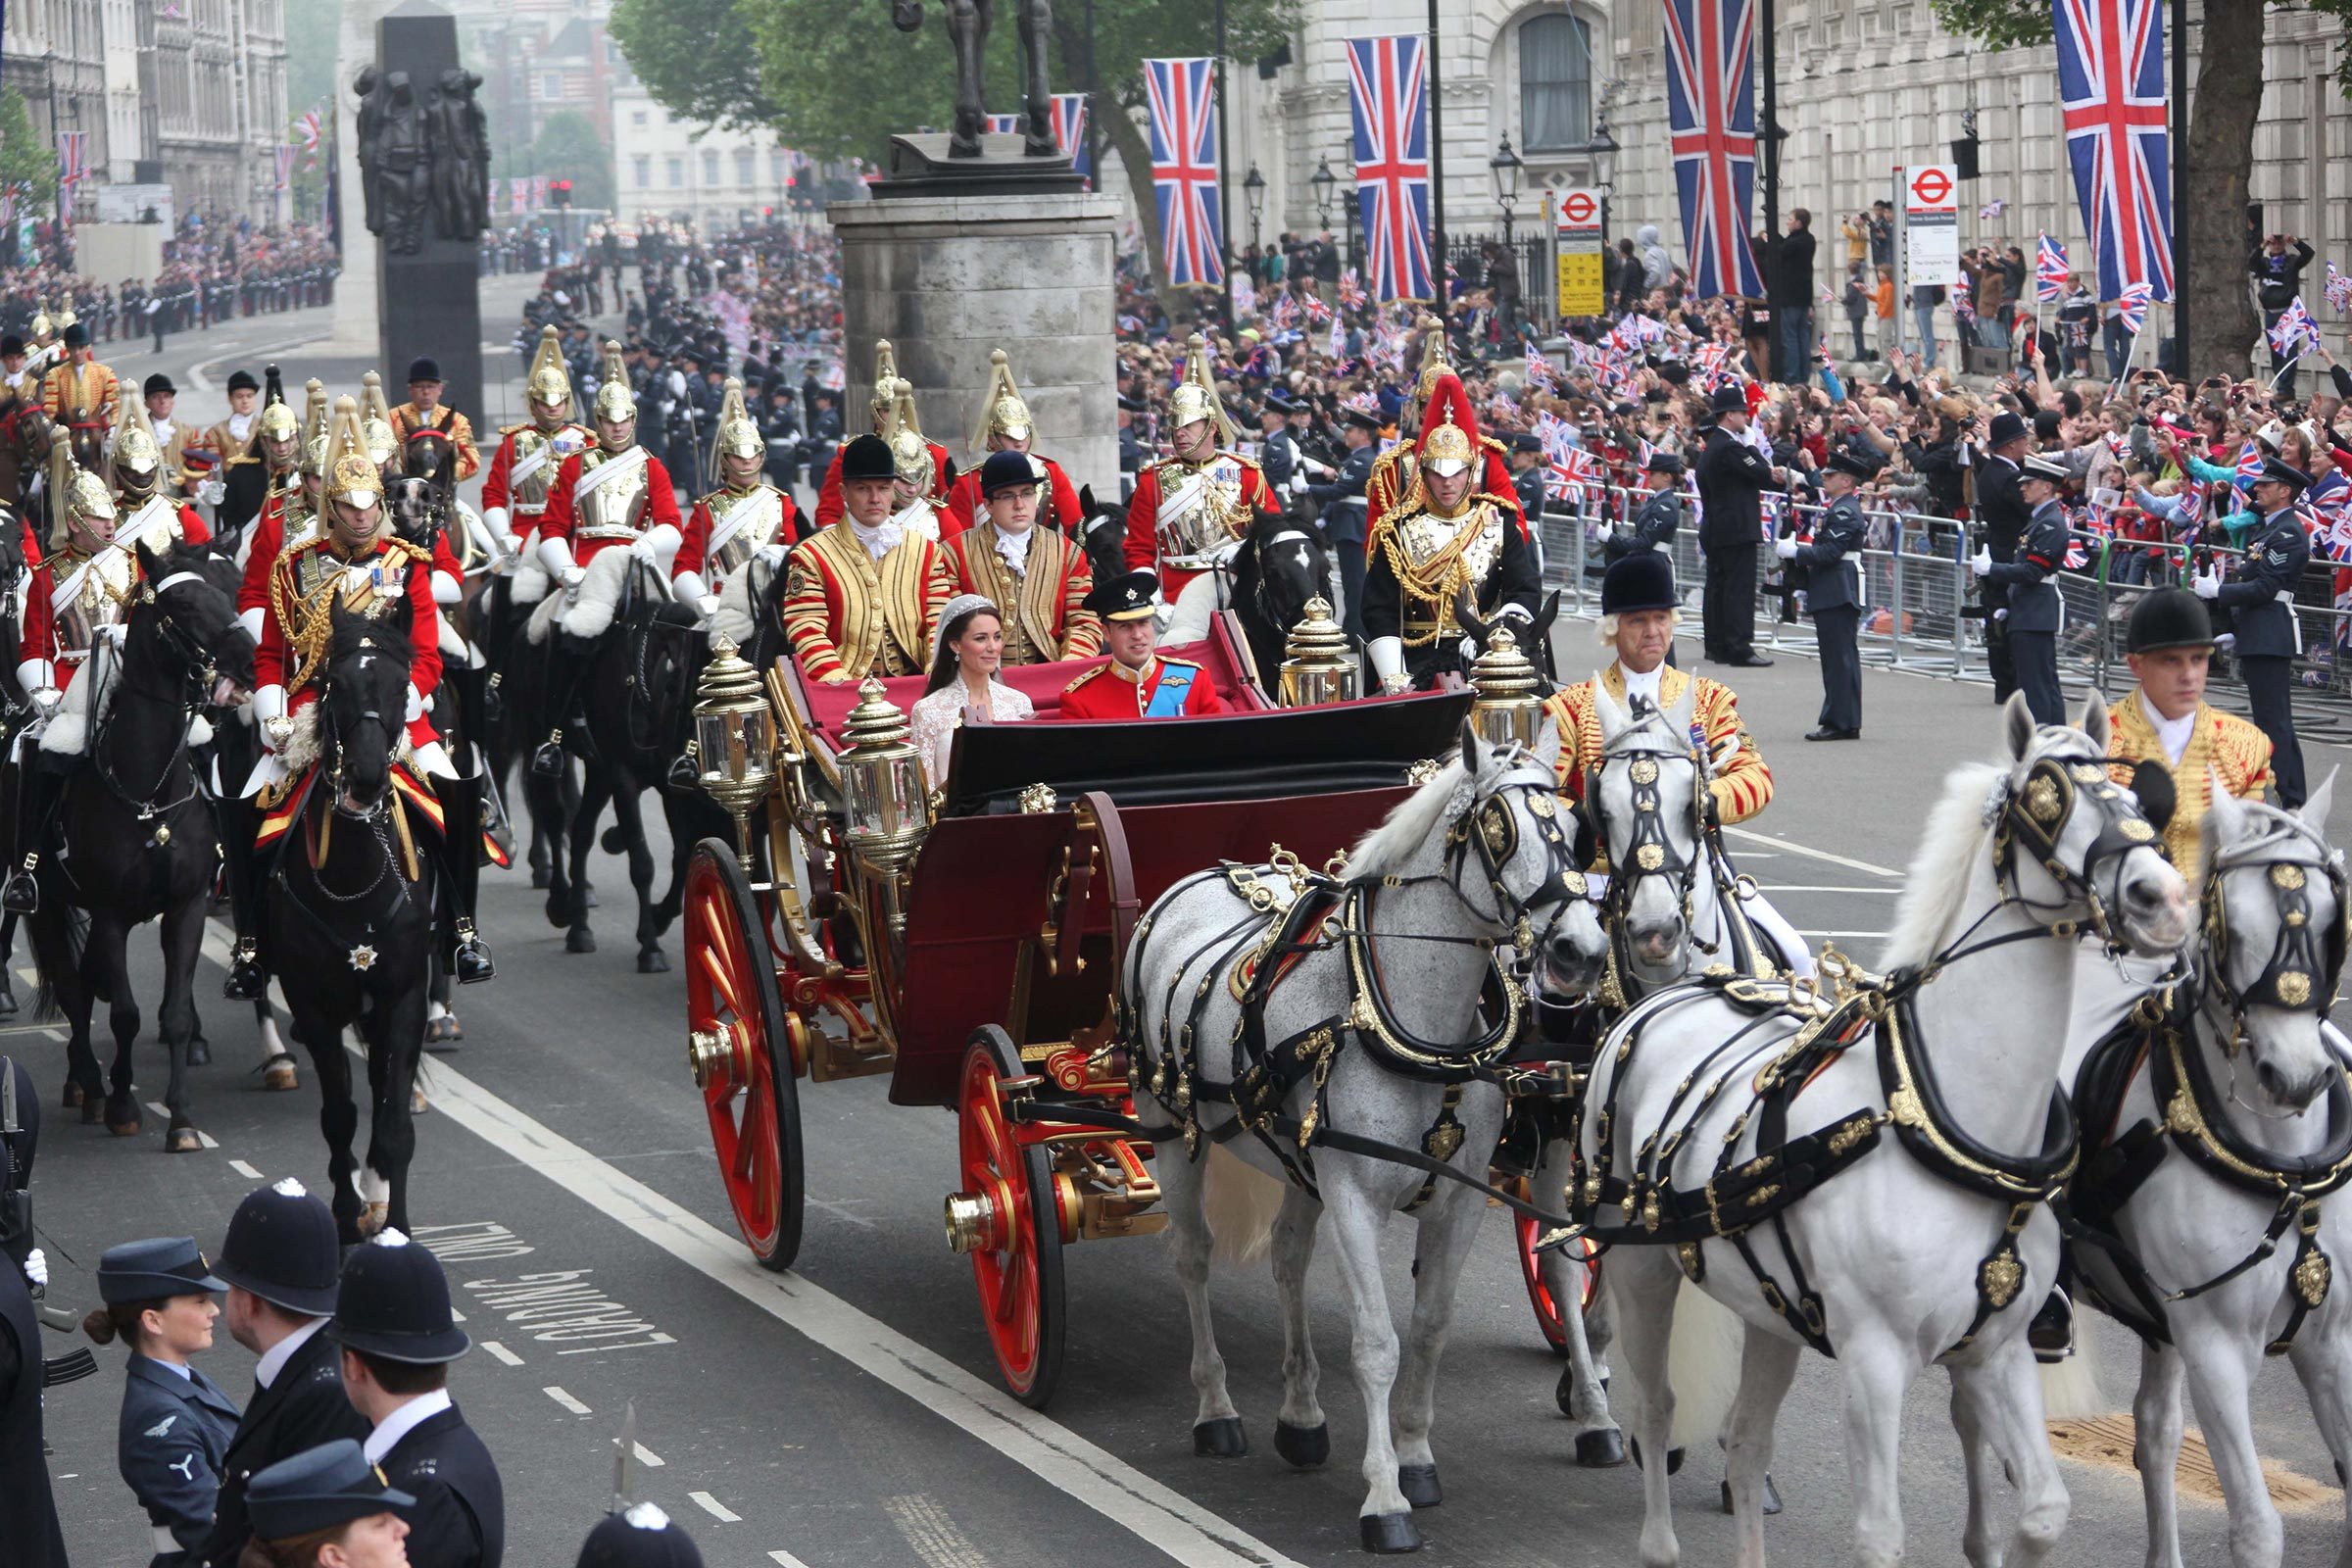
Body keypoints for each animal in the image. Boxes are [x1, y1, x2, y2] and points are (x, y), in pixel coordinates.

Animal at [24, 545, 255, 1147]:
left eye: (227, 592)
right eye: (183, 603)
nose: (248, 662)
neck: (149, 792)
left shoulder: (186, 906)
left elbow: (173, 1014)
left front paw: (181, 1119)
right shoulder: (108, 912)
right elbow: (124, 1014)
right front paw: (125, 1105)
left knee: (83, 984)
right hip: (46, 903)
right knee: (73, 990)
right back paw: (89, 1084)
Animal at [270, 602, 444, 1241]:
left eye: (401, 686)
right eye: (334, 684)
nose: (367, 779)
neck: (355, 878)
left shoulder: (404, 996)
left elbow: (393, 1123)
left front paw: (397, 1228)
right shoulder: (314, 1005)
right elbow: (338, 1118)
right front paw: (345, 1225)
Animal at [1124, 723, 1608, 1560]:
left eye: (1577, 830)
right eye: (1497, 829)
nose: (1581, 951)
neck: (1409, 1022)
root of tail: (1197, 878)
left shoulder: (1456, 1201)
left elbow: (1430, 1328)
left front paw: (1414, 1457)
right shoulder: (1353, 1194)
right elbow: (1377, 1343)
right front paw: (1385, 1499)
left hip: (1293, 1156)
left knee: (1287, 1258)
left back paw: (1301, 1417)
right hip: (1168, 1125)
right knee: (1192, 1258)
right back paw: (1217, 1408)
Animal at [1580, 700, 2182, 1568]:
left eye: (2137, 802)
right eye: (2047, 800)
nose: (2162, 895)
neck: (1944, 1123)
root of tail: (1675, 990)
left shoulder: (1997, 1351)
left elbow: (2042, 1508)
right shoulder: (1873, 1362)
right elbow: (1880, 1536)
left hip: (1771, 1313)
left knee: (1749, 1446)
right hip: (1642, 1269)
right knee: (1656, 1408)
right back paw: (1657, 1537)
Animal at [2070, 775, 2342, 1568]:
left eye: (2328, 922)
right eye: (2231, 929)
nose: (2296, 1077)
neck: (2284, 1170)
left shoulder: (2333, 1342)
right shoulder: (2217, 1346)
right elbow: (2255, 1525)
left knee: (2155, 1432)